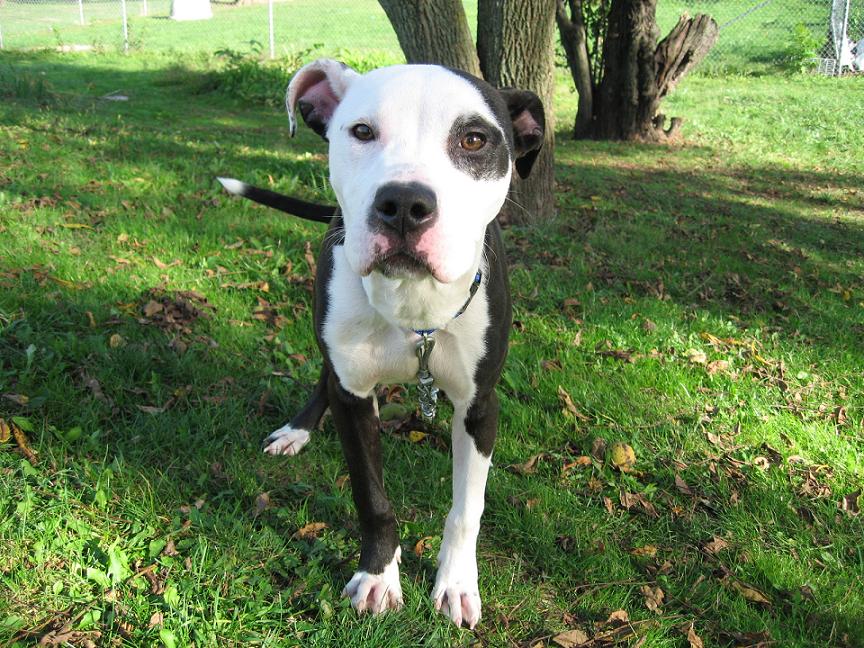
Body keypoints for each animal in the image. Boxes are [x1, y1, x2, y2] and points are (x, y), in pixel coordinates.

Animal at [219, 58, 545, 628]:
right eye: (362, 132)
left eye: (475, 139)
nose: (405, 204)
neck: (413, 308)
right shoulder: (353, 396)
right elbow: (371, 499)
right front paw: (377, 577)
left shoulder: (480, 406)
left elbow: (467, 509)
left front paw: (456, 584)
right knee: (324, 376)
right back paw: (297, 430)